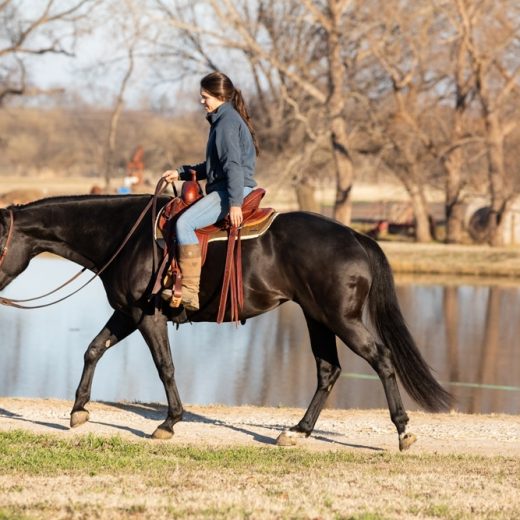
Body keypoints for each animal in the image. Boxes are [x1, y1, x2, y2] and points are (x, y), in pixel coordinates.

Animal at [0, 195, 450, 450]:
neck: (126, 236)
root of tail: (356, 236)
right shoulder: (127, 312)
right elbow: (93, 348)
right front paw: (78, 411)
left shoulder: (147, 316)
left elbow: (164, 367)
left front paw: (169, 422)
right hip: (317, 317)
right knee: (328, 370)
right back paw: (297, 432)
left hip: (341, 318)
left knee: (382, 359)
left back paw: (403, 432)